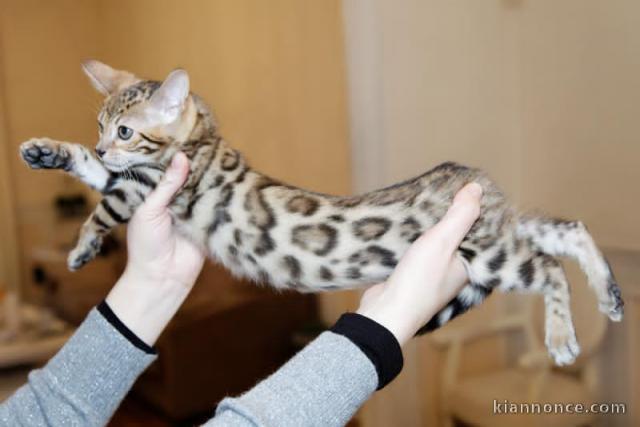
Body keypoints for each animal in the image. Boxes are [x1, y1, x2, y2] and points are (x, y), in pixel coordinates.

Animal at [20, 61, 620, 368]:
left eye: (125, 130)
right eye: (99, 126)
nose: (105, 146)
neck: (206, 139)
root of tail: (474, 178)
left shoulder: (151, 188)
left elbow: (104, 202)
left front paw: (80, 245)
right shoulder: (135, 181)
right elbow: (92, 172)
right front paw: (45, 151)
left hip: (487, 251)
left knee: (549, 269)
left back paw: (561, 337)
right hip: (501, 232)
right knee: (566, 229)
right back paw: (610, 292)